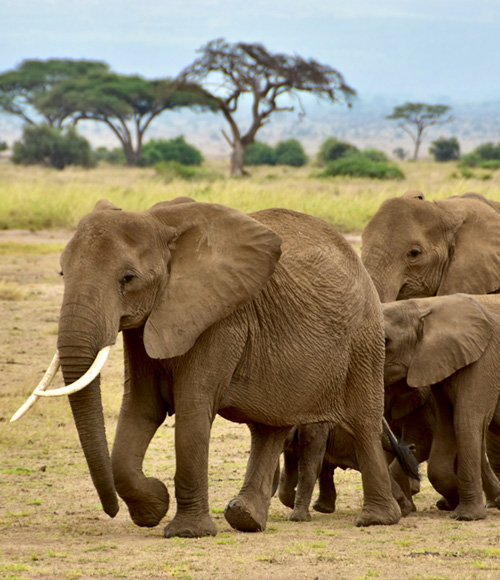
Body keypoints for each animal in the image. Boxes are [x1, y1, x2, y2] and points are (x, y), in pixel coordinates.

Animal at [12, 197, 402, 536]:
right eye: (62, 272)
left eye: (128, 279)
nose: (111, 511)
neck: (160, 224)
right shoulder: (148, 323)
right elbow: (141, 408)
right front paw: (152, 506)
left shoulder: (221, 319)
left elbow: (192, 409)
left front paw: (186, 532)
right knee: (270, 426)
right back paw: (246, 519)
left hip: (363, 339)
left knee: (364, 423)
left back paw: (376, 520)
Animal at [382, 294, 500, 520]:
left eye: (386, 342)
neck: (425, 305)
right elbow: (446, 427)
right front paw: (453, 503)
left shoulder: (484, 361)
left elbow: (465, 421)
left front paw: (465, 516)